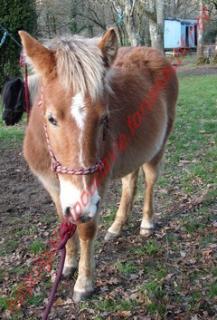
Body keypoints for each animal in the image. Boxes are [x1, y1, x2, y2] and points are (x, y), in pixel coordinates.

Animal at [18, 28, 178, 302]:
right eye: (51, 118)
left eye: (104, 118)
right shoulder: (54, 187)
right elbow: (65, 222)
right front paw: (67, 265)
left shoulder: (94, 186)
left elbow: (85, 230)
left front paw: (84, 282)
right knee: (129, 183)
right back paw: (116, 226)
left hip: (158, 148)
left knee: (149, 181)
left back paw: (146, 223)